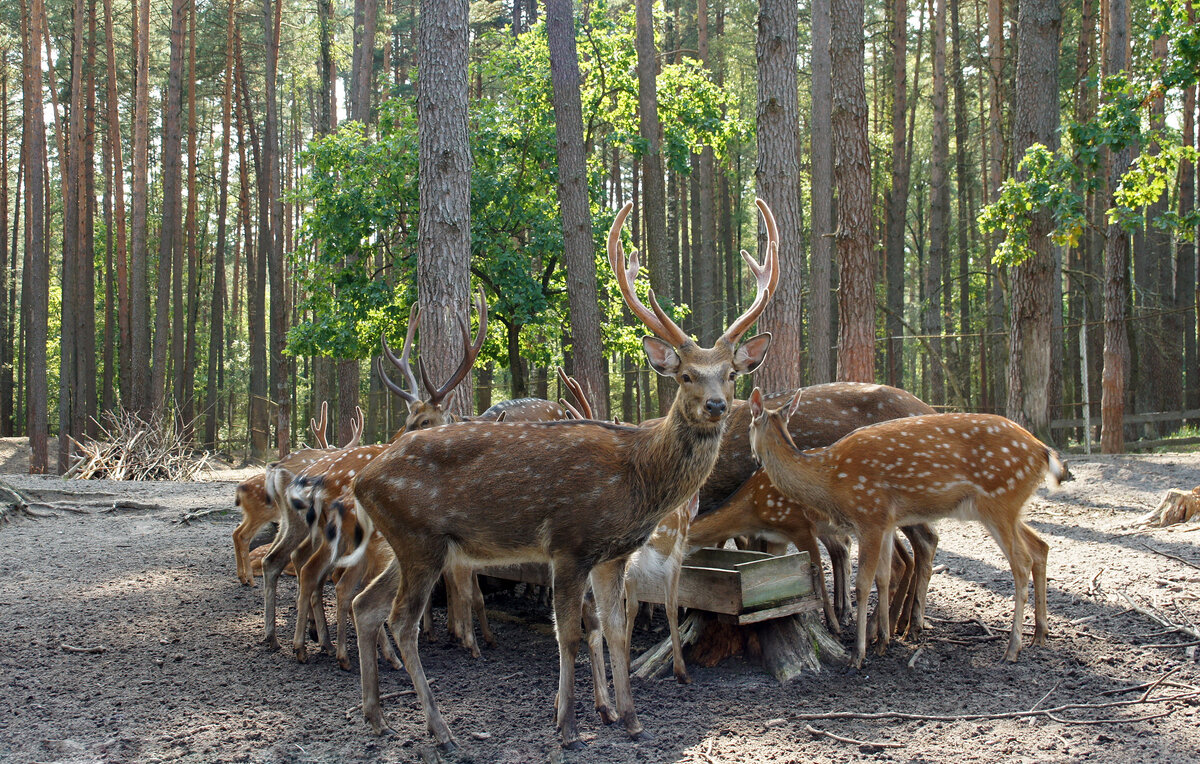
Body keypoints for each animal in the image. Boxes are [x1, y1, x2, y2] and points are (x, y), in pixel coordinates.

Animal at [343, 197, 782, 753]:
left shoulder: (612, 555)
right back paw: (440, 729)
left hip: (406, 543)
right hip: (420, 540)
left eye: (729, 373)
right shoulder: (570, 543)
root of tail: (361, 481)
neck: (637, 479)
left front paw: (631, 719)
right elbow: (570, 633)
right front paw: (568, 726)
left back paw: (376, 716)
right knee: (402, 622)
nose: (717, 405)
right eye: (686, 375)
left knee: (366, 605)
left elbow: (617, 629)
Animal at [748, 390, 1060, 666]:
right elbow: (884, 576)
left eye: (750, 425)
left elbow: (863, 583)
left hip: (999, 501)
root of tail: (1044, 452)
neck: (830, 481)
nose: (754, 459)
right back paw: (1039, 635)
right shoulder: (886, 522)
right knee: (1040, 546)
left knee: (1022, 561)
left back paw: (1012, 649)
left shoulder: (870, 515)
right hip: (1010, 507)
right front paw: (882, 642)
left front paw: (858, 654)